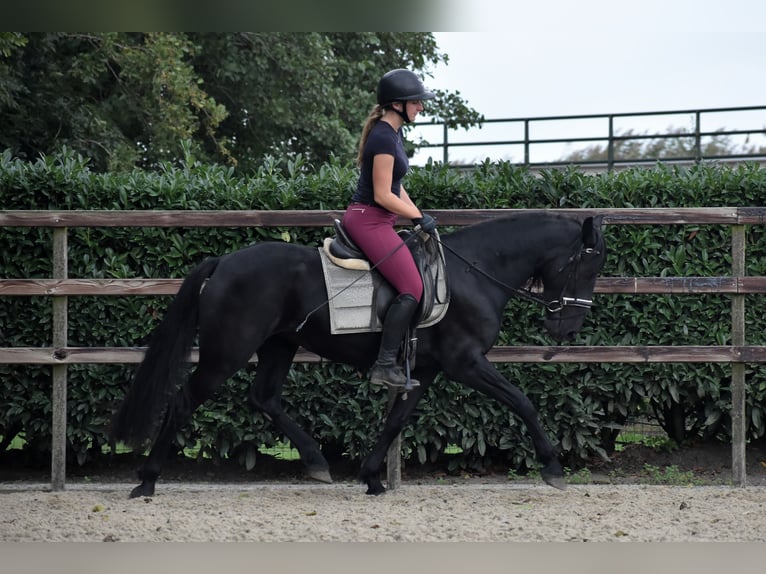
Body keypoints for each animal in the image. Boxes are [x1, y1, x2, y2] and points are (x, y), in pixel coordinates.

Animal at [112, 214, 608, 498]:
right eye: (588, 263)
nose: (568, 328)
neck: (475, 272)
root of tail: (224, 263)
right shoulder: (466, 363)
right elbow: (522, 402)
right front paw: (553, 467)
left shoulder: (425, 371)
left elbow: (395, 422)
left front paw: (371, 477)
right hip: (227, 351)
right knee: (183, 402)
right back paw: (147, 481)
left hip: (280, 344)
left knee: (264, 398)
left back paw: (316, 462)